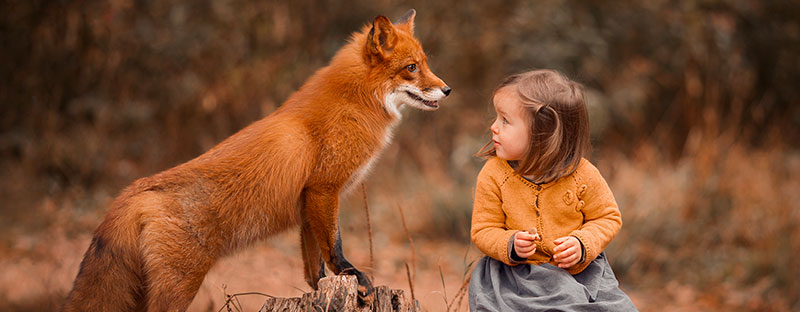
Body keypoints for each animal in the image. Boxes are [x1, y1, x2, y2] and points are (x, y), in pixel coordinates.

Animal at [61, 9, 450, 312]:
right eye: (411, 68)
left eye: (426, 64)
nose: (447, 89)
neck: (354, 102)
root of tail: (131, 193)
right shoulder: (325, 188)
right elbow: (334, 246)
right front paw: (351, 276)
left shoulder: (307, 202)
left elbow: (312, 265)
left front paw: (320, 289)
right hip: (179, 286)